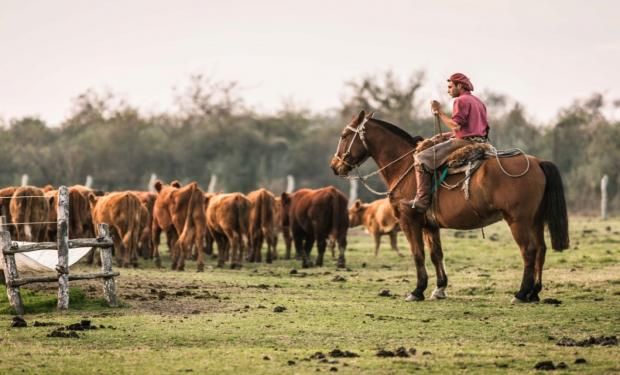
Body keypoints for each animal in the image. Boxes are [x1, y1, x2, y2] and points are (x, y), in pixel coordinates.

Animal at [332, 111, 568, 302]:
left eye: (344, 135)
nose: (335, 166)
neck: (405, 166)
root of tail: (537, 162)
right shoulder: (430, 225)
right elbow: (436, 254)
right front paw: (439, 289)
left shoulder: (410, 222)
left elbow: (418, 254)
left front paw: (417, 290)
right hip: (535, 220)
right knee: (541, 249)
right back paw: (534, 292)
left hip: (518, 220)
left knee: (528, 251)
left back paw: (521, 293)